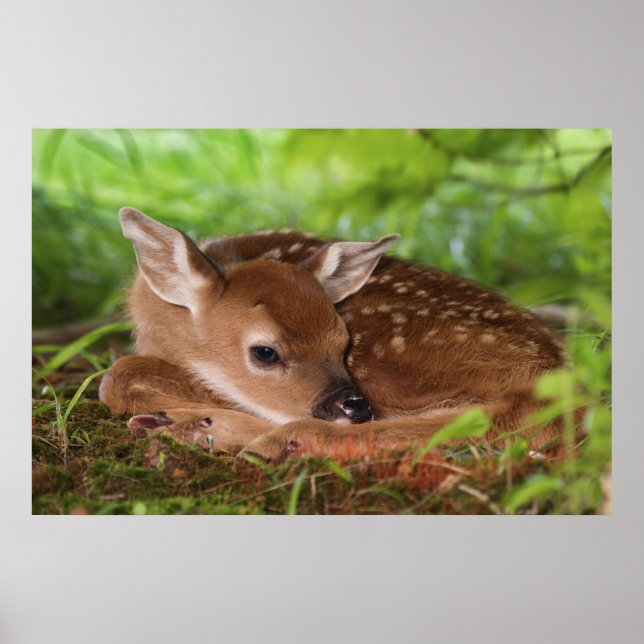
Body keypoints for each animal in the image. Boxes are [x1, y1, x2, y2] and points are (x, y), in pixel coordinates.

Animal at [99, 207, 570, 464]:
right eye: (265, 352)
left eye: (342, 342)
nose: (354, 406)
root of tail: (556, 377)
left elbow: (117, 378)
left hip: (392, 363)